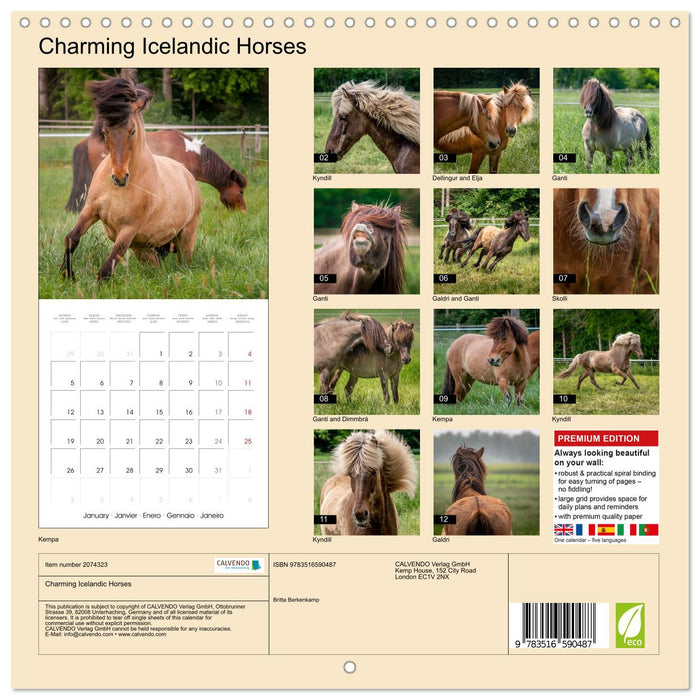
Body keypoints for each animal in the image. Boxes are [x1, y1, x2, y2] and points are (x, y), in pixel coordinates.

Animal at [61, 77, 201, 282]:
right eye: (104, 131)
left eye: (132, 131)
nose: (120, 177)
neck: (116, 190)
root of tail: (188, 175)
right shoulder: (90, 210)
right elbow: (72, 239)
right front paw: (67, 275)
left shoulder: (128, 230)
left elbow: (106, 269)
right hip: (144, 249)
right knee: (156, 267)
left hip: (185, 239)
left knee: (185, 263)